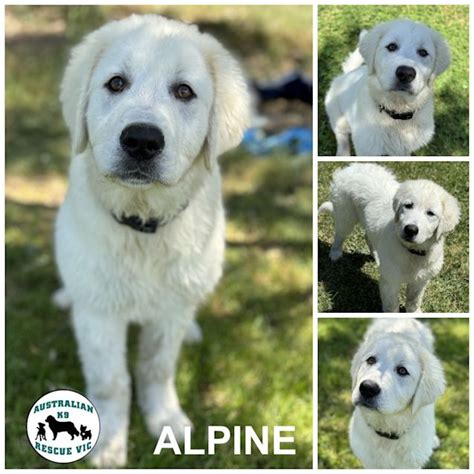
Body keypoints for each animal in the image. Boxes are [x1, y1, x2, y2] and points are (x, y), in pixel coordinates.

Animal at [55, 14, 252, 466]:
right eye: (116, 84)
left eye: (184, 92)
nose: (142, 140)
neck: (143, 224)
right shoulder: (100, 313)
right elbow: (110, 381)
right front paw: (108, 442)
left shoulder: (169, 311)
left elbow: (156, 368)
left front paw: (164, 420)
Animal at [318, 163, 460, 312]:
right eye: (408, 205)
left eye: (431, 213)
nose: (410, 229)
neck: (413, 252)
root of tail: (351, 167)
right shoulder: (390, 282)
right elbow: (392, 306)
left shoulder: (421, 281)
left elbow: (414, 300)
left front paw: (415, 312)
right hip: (346, 215)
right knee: (340, 234)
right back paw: (335, 253)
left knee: (368, 237)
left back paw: (376, 256)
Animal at [326, 19, 452, 156]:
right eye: (391, 47)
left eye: (423, 52)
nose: (405, 73)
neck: (397, 114)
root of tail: (347, 74)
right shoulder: (367, 149)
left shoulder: (403, 150)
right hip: (339, 118)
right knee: (341, 136)